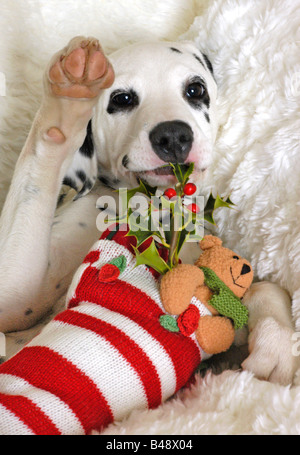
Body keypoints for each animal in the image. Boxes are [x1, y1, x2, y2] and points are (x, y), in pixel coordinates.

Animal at [0, 36, 296, 384]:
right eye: (123, 98)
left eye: (195, 89)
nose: (173, 136)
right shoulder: (15, 298)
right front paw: (69, 96)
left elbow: (263, 287)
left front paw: (277, 342)